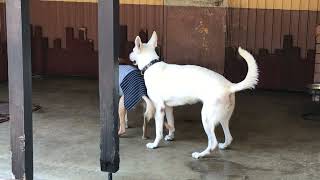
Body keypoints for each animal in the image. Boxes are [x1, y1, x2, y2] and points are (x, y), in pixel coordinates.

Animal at [129, 31, 258, 158]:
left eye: (133, 50)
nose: (129, 55)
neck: (151, 65)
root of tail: (229, 86)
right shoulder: (168, 108)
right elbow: (171, 124)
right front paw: (171, 137)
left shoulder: (159, 108)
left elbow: (158, 131)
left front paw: (155, 144)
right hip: (223, 118)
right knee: (229, 137)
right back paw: (223, 146)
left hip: (206, 118)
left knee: (213, 143)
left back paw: (201, 155)